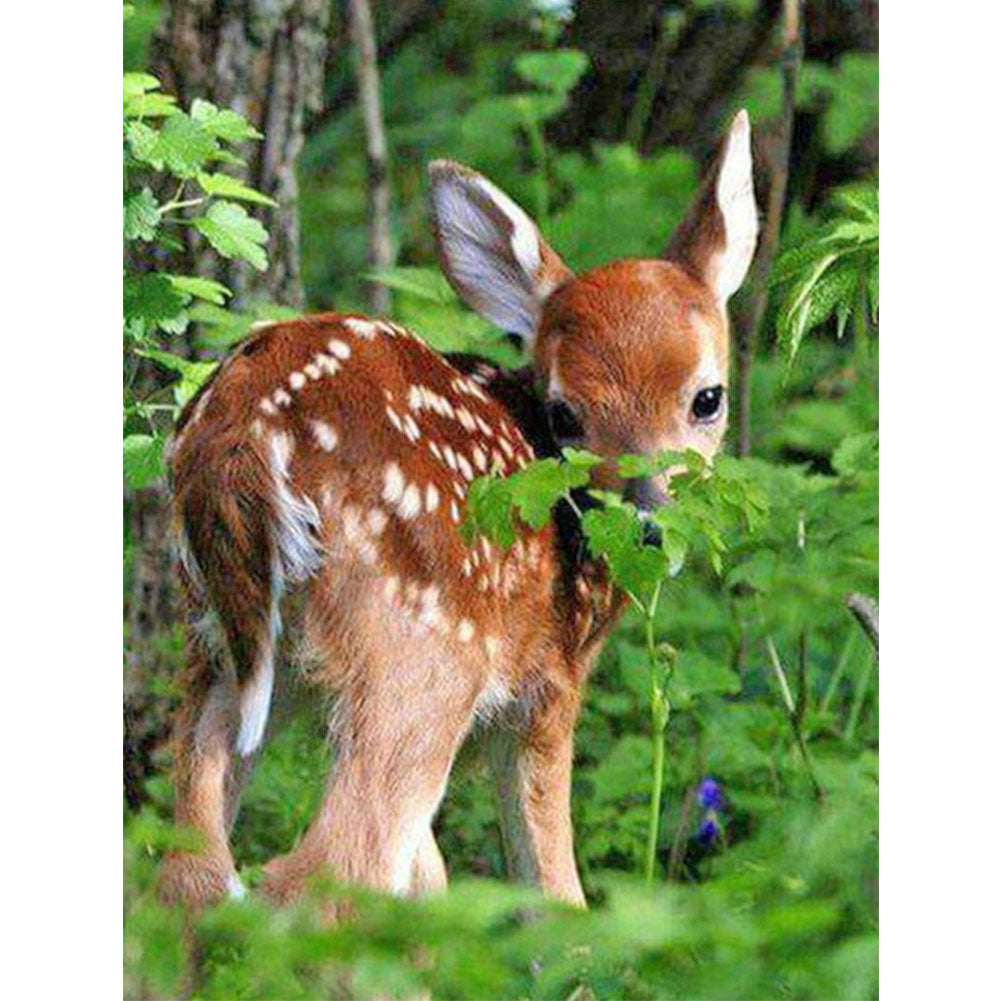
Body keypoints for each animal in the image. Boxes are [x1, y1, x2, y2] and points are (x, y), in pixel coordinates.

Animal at [157, 110, 758, 911]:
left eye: (706, 398)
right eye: (564, 414)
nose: (647, 524)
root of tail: (243, 434)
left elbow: (430, 879)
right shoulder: (545, 689)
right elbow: (550, 888)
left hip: (228, 644)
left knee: (190, 867)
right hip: (425, 649)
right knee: (325, 873)